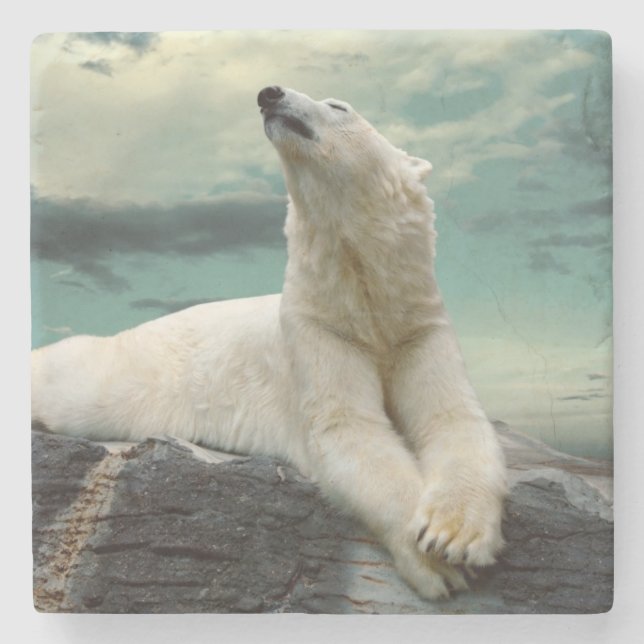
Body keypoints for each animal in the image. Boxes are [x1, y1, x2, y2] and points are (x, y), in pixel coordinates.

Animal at [31, 86, 507, 600]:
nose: (269, 94)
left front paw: (454, 535)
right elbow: (348, 428)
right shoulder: (317, 329)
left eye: (339, 106)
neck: (364, 298)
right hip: (121, 373)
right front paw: (435, 562)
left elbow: (453, 417)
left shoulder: (417, 326)